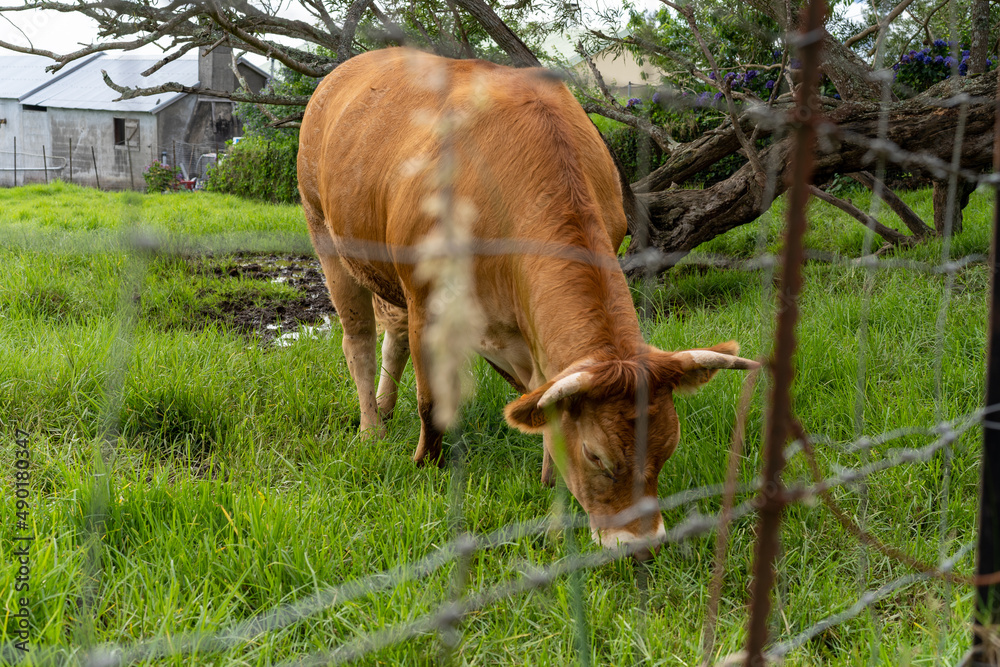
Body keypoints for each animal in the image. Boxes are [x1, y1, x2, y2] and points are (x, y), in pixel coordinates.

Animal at [298, 45, 756, 548]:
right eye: (596, 455)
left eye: (668, 446)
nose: (641, 544)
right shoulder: (426, 300)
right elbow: (432, 401)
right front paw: (426, 465)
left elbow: (543, 392)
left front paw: (548, 480)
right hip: (325, 236)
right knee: (358, 340)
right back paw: (371, 429)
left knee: (391, 336)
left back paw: (383, 407)